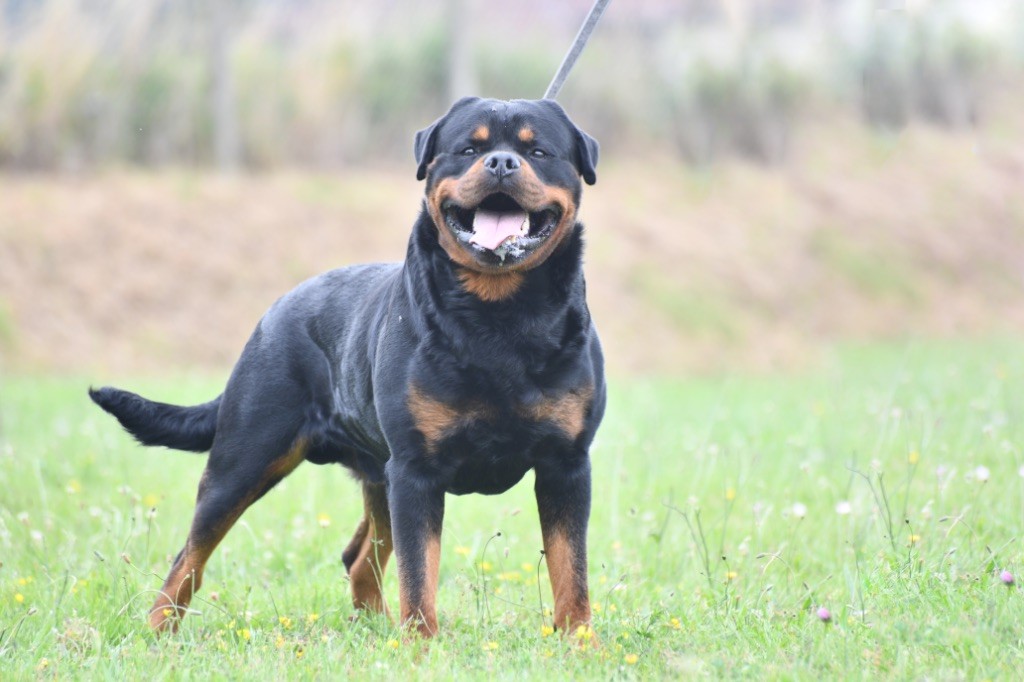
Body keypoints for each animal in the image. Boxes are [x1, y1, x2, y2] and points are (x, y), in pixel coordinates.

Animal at [88, 96, 602, 638]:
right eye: (469, 149)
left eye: (538, 151)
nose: (501, 162)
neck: (499, 313)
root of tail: (273, 313)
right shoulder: (415, 470)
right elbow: (419, 572)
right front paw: (422, 643)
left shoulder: (565, 463)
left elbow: (571, 567)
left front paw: (577, 640)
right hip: (245, 459)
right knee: (190, 555)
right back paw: (158, 630)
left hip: (375, 474)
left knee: (358, 557)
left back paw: (377, 628)